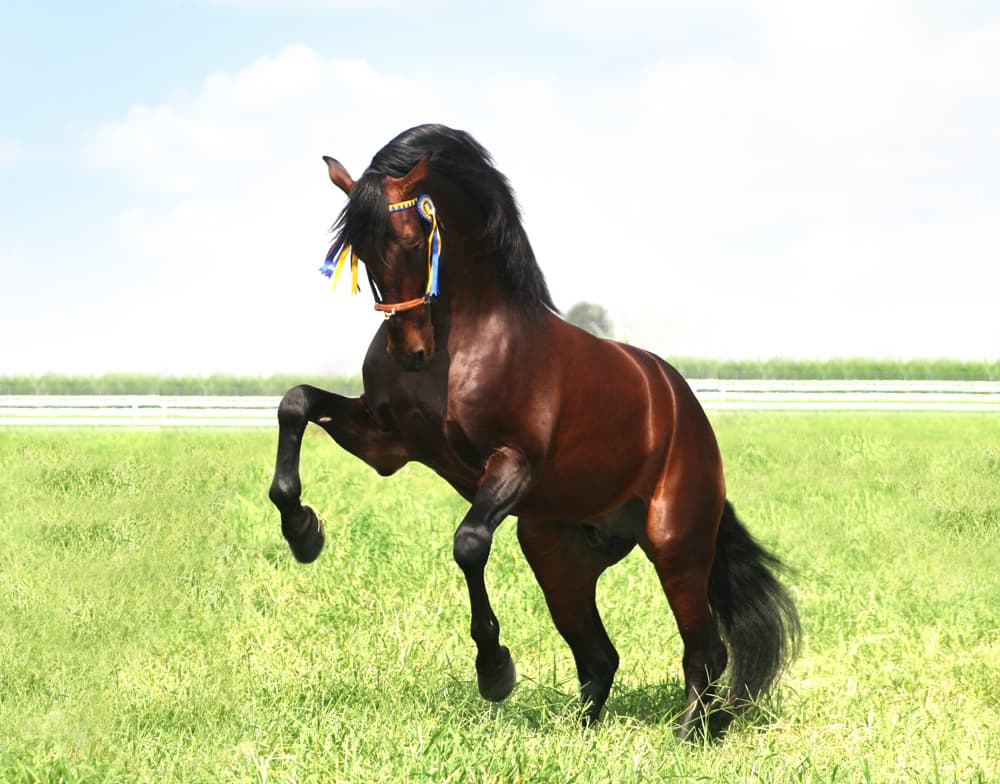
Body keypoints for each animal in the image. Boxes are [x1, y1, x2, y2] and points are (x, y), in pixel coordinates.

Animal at [268, 124, 799, 740]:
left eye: (414, 236)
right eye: (358, 249)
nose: (410, 352)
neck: (462, 343)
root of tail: (683, 408)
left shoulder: (513, 463)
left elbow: (469, 543)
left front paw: (495, 670)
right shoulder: (388, 442)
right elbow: (295, 404)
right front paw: (304, 532)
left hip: (676, 544)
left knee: (705, 651)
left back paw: (690, 735)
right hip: (557, 555)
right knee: (600, 656)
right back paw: (583, 732)